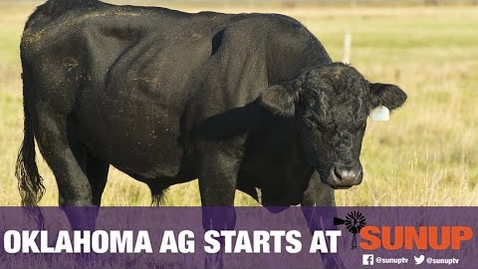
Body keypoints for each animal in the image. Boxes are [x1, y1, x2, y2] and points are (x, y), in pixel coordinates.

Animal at [15, 1, 408, 266]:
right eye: (311, 120)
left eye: (362, 121)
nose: (347, 174)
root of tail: (51, 11)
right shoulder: (216, 161)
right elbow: (219, 226)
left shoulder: (315, 173)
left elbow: (325, 231)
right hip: (53, 132)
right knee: (78, 198)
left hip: (93, 148)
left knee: (92, 198)